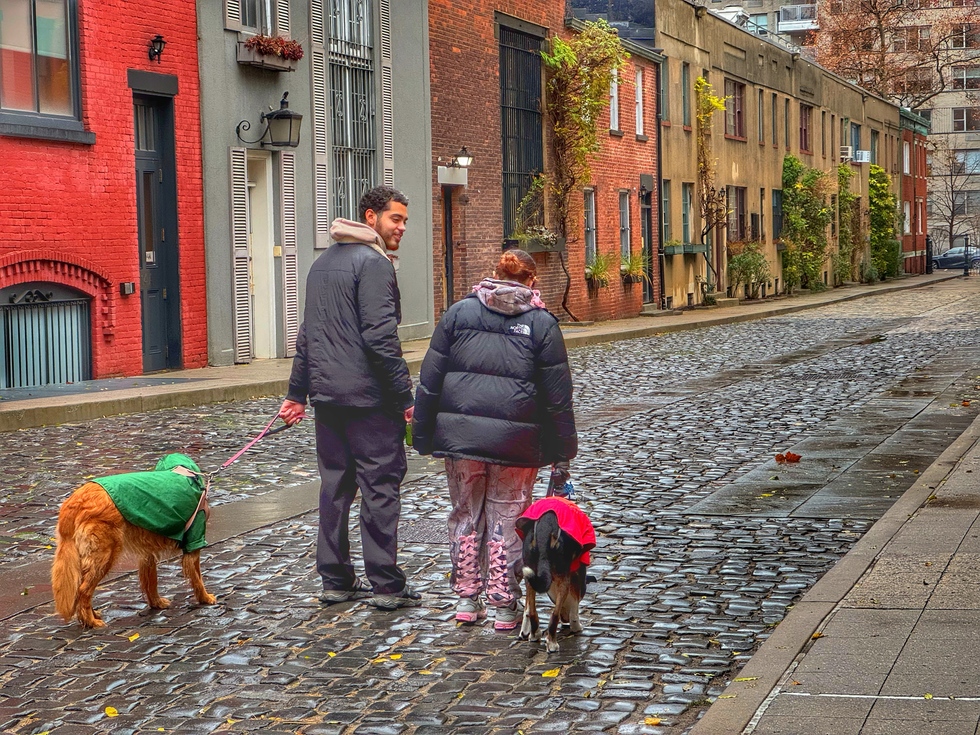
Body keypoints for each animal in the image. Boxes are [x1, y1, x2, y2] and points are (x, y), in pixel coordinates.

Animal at [512, 498, 596, 652]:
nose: (565, 621)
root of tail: (546, 525)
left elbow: (527, 607)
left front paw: (524, 631)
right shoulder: (577, 574)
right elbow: (575, 606)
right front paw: (576, 626)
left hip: (529, 572)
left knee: (532, 611)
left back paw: (535, 634)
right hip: (564, 578)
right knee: (554, 615)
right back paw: (552, 642)